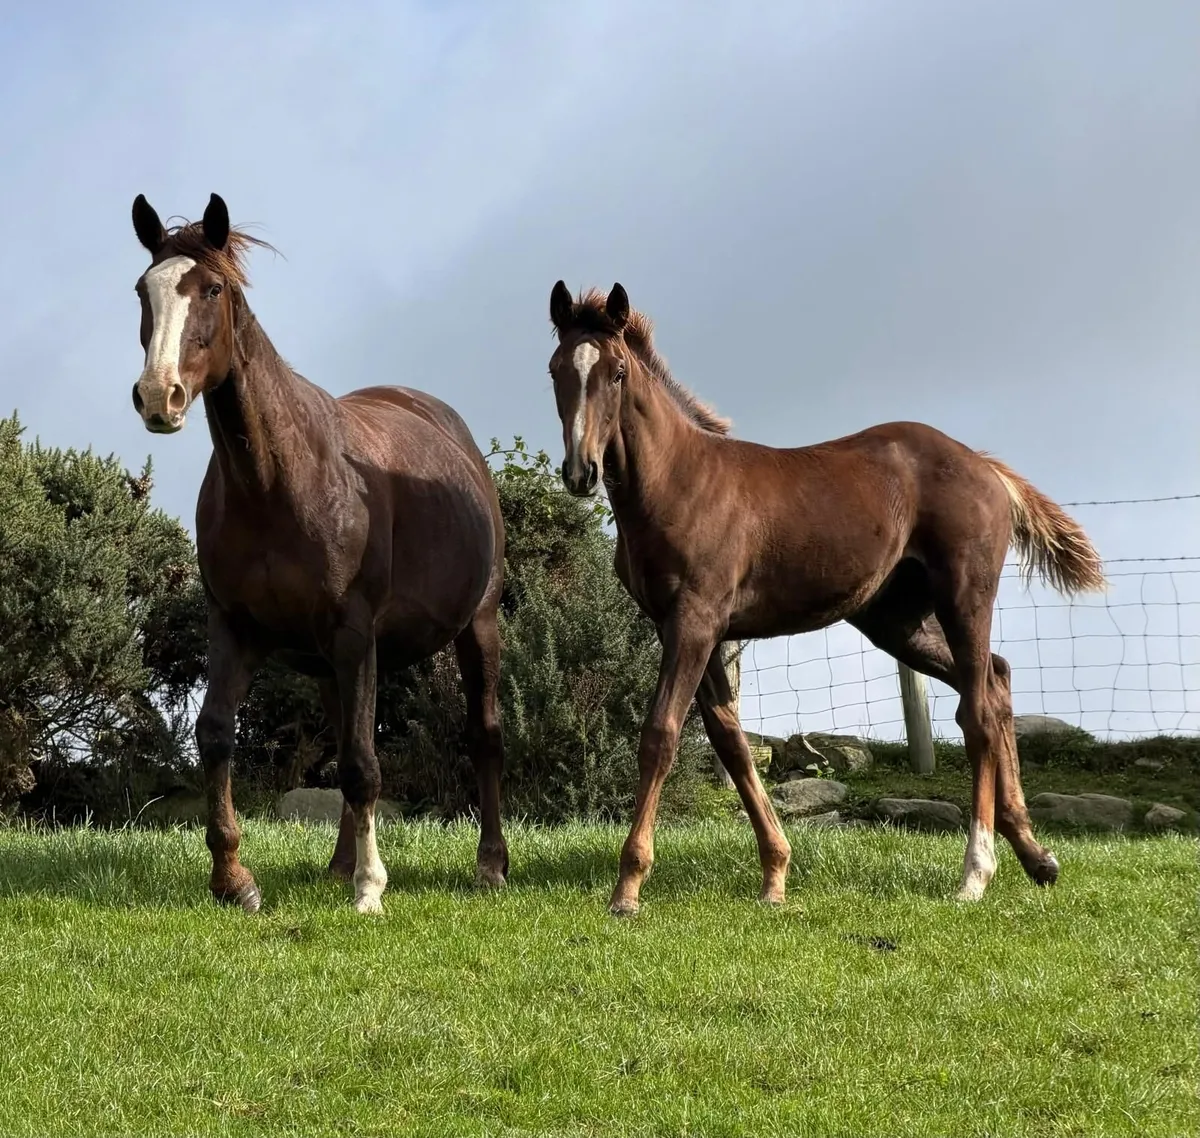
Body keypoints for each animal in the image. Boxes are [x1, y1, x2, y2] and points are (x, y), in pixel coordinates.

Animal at [129, 192, 509, 914]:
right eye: (144, 291)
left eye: (212, 289)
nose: (158, 395)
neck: (277, 481)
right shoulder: (235, 628)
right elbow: (217, 734)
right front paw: (233, 879)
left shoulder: (355, 633)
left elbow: (364, 765)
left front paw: (371, 889)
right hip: (332, 664)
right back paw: (337, 864)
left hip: (477, 626)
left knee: (483, 736)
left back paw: (490, 864)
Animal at [546, 280, 1105, 916]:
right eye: (556, 369)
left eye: (617, 372)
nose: (581, 471)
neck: (676, 483)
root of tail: (986, 467)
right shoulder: (686, 627)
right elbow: (731, 741)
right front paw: (774, 876)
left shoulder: (696, 620)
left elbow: (661, 734)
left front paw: (628, 886)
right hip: (896, 621)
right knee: (996, 677)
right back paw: (1035, 855)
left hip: (965, 595)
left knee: (979, 710)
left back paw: (976, 872)